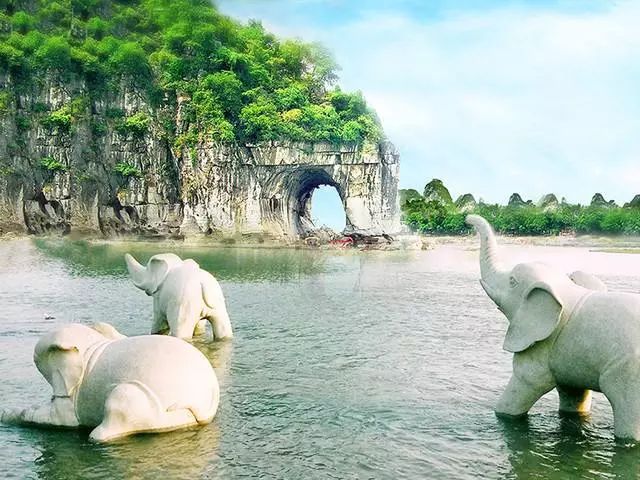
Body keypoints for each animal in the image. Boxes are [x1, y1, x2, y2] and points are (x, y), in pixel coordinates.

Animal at [1, 323, 219, 442]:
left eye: (37, 360)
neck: (92, 346)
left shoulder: (72, 393)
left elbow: (59, 419)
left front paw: (6, 413)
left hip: (136, 400)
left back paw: (96, 436)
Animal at [467, 214, 640, 440]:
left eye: (512, 281)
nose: (467, 219)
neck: (568, 292)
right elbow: (573, 393)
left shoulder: (541, 349)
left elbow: (524, 384)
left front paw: (503, 417)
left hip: (629, 375)